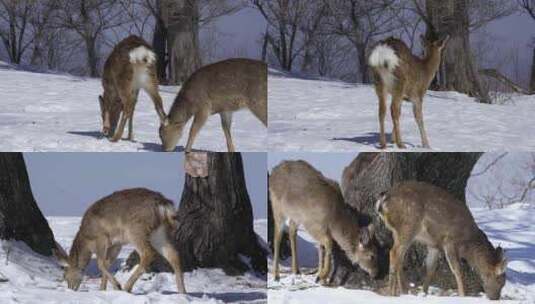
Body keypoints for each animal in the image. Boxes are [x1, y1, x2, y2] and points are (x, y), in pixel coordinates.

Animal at [52, 189, 186, 294]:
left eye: (65, 275)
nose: (71, 289)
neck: (87, 240)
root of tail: (163, 204)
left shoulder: (102, 237)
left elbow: (101, 263)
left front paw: (117, 286)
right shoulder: (116, 244)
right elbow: (107, 263)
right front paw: (102, 289)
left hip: (136, 230)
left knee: (148, 253)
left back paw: (127, 287)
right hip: (159, 232)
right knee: (173, 254)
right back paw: (182, 293)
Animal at [374, 182, 508, 300]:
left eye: (504, 283)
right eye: (499, 281)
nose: (495, 298)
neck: (467, 243)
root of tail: (382, 200)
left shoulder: (434, 244)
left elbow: (430, 268)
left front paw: (424, 292)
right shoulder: (449, 241)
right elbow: (457, 269)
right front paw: (463, 295)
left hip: (397, 230)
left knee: (400, 258)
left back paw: (404, 291)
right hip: (408, 226)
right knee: (393, 253)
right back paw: (392, 293)